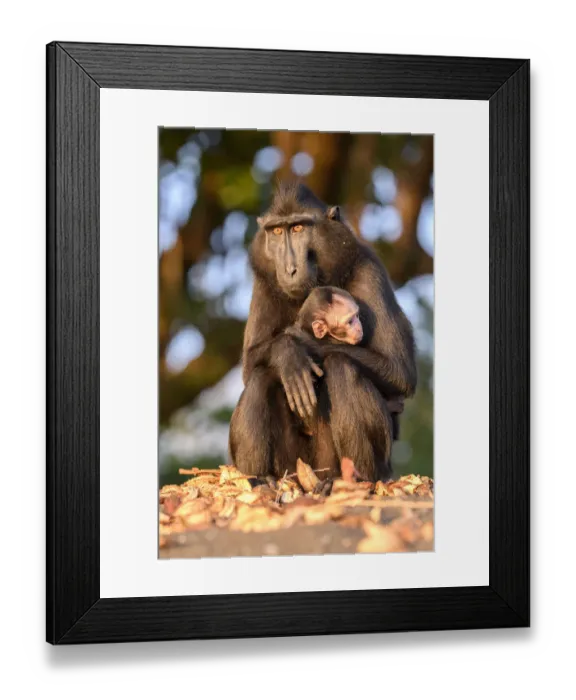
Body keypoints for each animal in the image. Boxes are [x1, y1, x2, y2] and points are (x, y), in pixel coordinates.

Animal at [229, 182, 416, 483]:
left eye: (298, 228)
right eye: (277, 231)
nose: (289, 269)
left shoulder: (369, 271)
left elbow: (401, 372)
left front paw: (303, 344)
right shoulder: (265, 281)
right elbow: (250, 366)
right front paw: (288, 353)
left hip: (348, 464)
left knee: (341, 366)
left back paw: (356, 479)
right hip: (293, 465)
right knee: (261, 376)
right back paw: (259, 479)